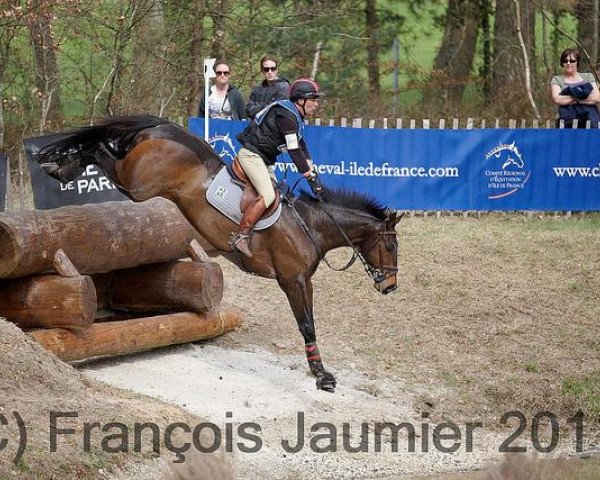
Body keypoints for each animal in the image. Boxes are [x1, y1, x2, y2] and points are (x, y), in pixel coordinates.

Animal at [38, 116, 404, 394]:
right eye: (390, 246)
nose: (390, 287)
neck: (310, 225)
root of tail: (162, 129)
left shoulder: (301, 281)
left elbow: (309, 323)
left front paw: (320, 372)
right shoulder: (293, 280)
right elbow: (307, 326)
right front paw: (321, 377)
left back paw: (60, 163)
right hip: (137, 186)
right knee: (102, 150)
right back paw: (61, 166)